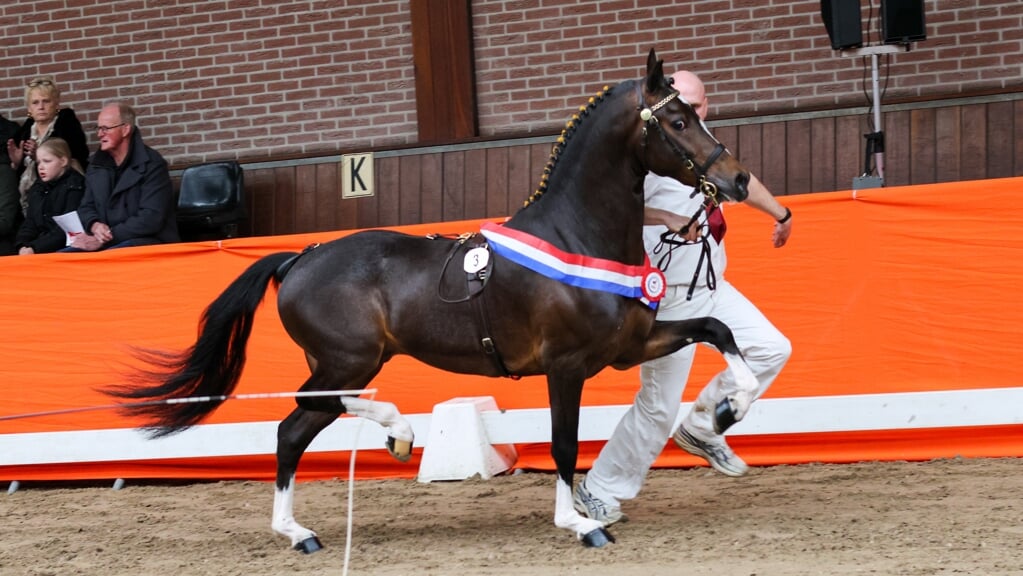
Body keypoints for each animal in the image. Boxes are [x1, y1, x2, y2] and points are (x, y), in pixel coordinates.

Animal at [109, 49, 761, 548]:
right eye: (677, 121)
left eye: (692, 114)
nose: (736, 180)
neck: (577, 235)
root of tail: (300, 257)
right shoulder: (566, 365)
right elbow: (564, 443)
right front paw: (577, 522)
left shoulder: (629, 348)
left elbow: (719, 331)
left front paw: (725, 413)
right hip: (348, 361)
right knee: (306, 409)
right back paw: (397, 433)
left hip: (345, 363)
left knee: (293, 430)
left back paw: (300, 531)